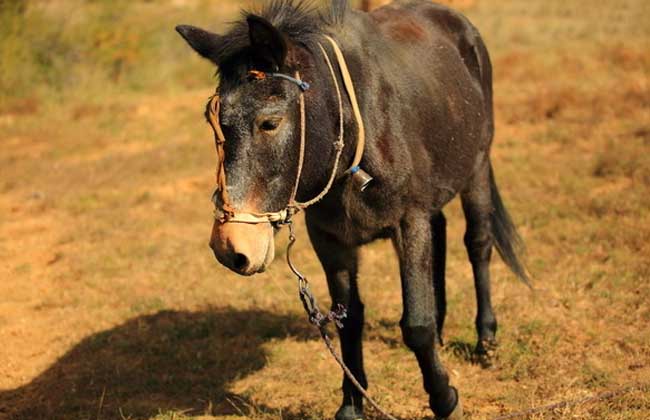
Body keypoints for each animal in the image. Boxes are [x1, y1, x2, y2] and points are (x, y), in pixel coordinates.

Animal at [175, 1, 529, 419]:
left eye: (269, 123)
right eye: (213, 123)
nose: (230, 247)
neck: (354, 140)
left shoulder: (409, 222)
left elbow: (416, 324)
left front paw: (444, 398)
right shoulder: (330, 240)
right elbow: (348, 320)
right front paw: (351, 405)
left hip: (476, 169)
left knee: (478, 244)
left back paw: (485, 339)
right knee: (441, 233)